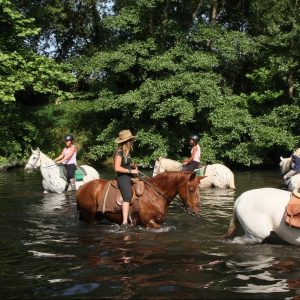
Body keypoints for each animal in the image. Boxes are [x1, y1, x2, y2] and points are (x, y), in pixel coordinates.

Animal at [76, 171, 205, 227]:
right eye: (191, 189)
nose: (196, 212)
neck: (155, 194)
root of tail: (81, 188)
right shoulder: (149, 223)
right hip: (89, 217)